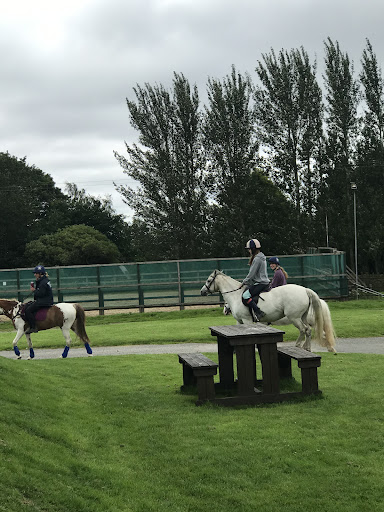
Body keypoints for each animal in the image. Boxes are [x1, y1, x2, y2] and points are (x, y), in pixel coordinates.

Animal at [201, 272, 336, 352]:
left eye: (208, 280)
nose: (202, 291)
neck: (236, 295)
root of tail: (305, 290)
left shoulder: (247, 320)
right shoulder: (240, 322)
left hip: (295, 318)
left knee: (305, 330)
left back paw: (302, 346)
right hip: (302, 317)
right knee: (308, 331)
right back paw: (307, 348)